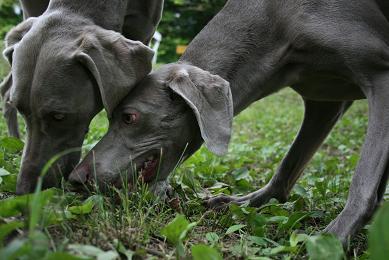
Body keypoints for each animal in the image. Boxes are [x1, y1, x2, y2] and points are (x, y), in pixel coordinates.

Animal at [70, 0, 388, 244]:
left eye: (129, 117)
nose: (75, 177)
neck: (276, 22)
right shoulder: (324, 102)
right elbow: (289, 165)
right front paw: (246, 202)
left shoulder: (381, 74)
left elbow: (362, 182)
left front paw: (332, 238)